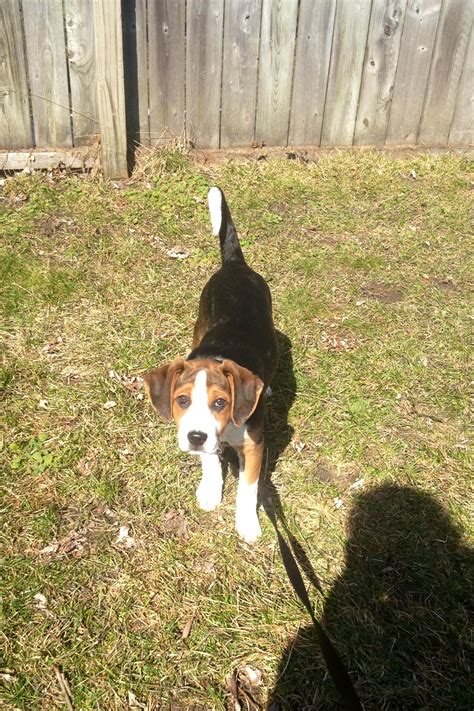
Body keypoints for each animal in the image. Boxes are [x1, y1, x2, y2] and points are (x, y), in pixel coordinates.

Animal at [144, 186, 278, 544]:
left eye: (221, 402)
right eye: (182, 400)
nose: (194, 437)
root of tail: (235, 264)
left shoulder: (255, 446)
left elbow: (247, 488)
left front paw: (247, 523)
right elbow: (211, 461)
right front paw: (210, 488)